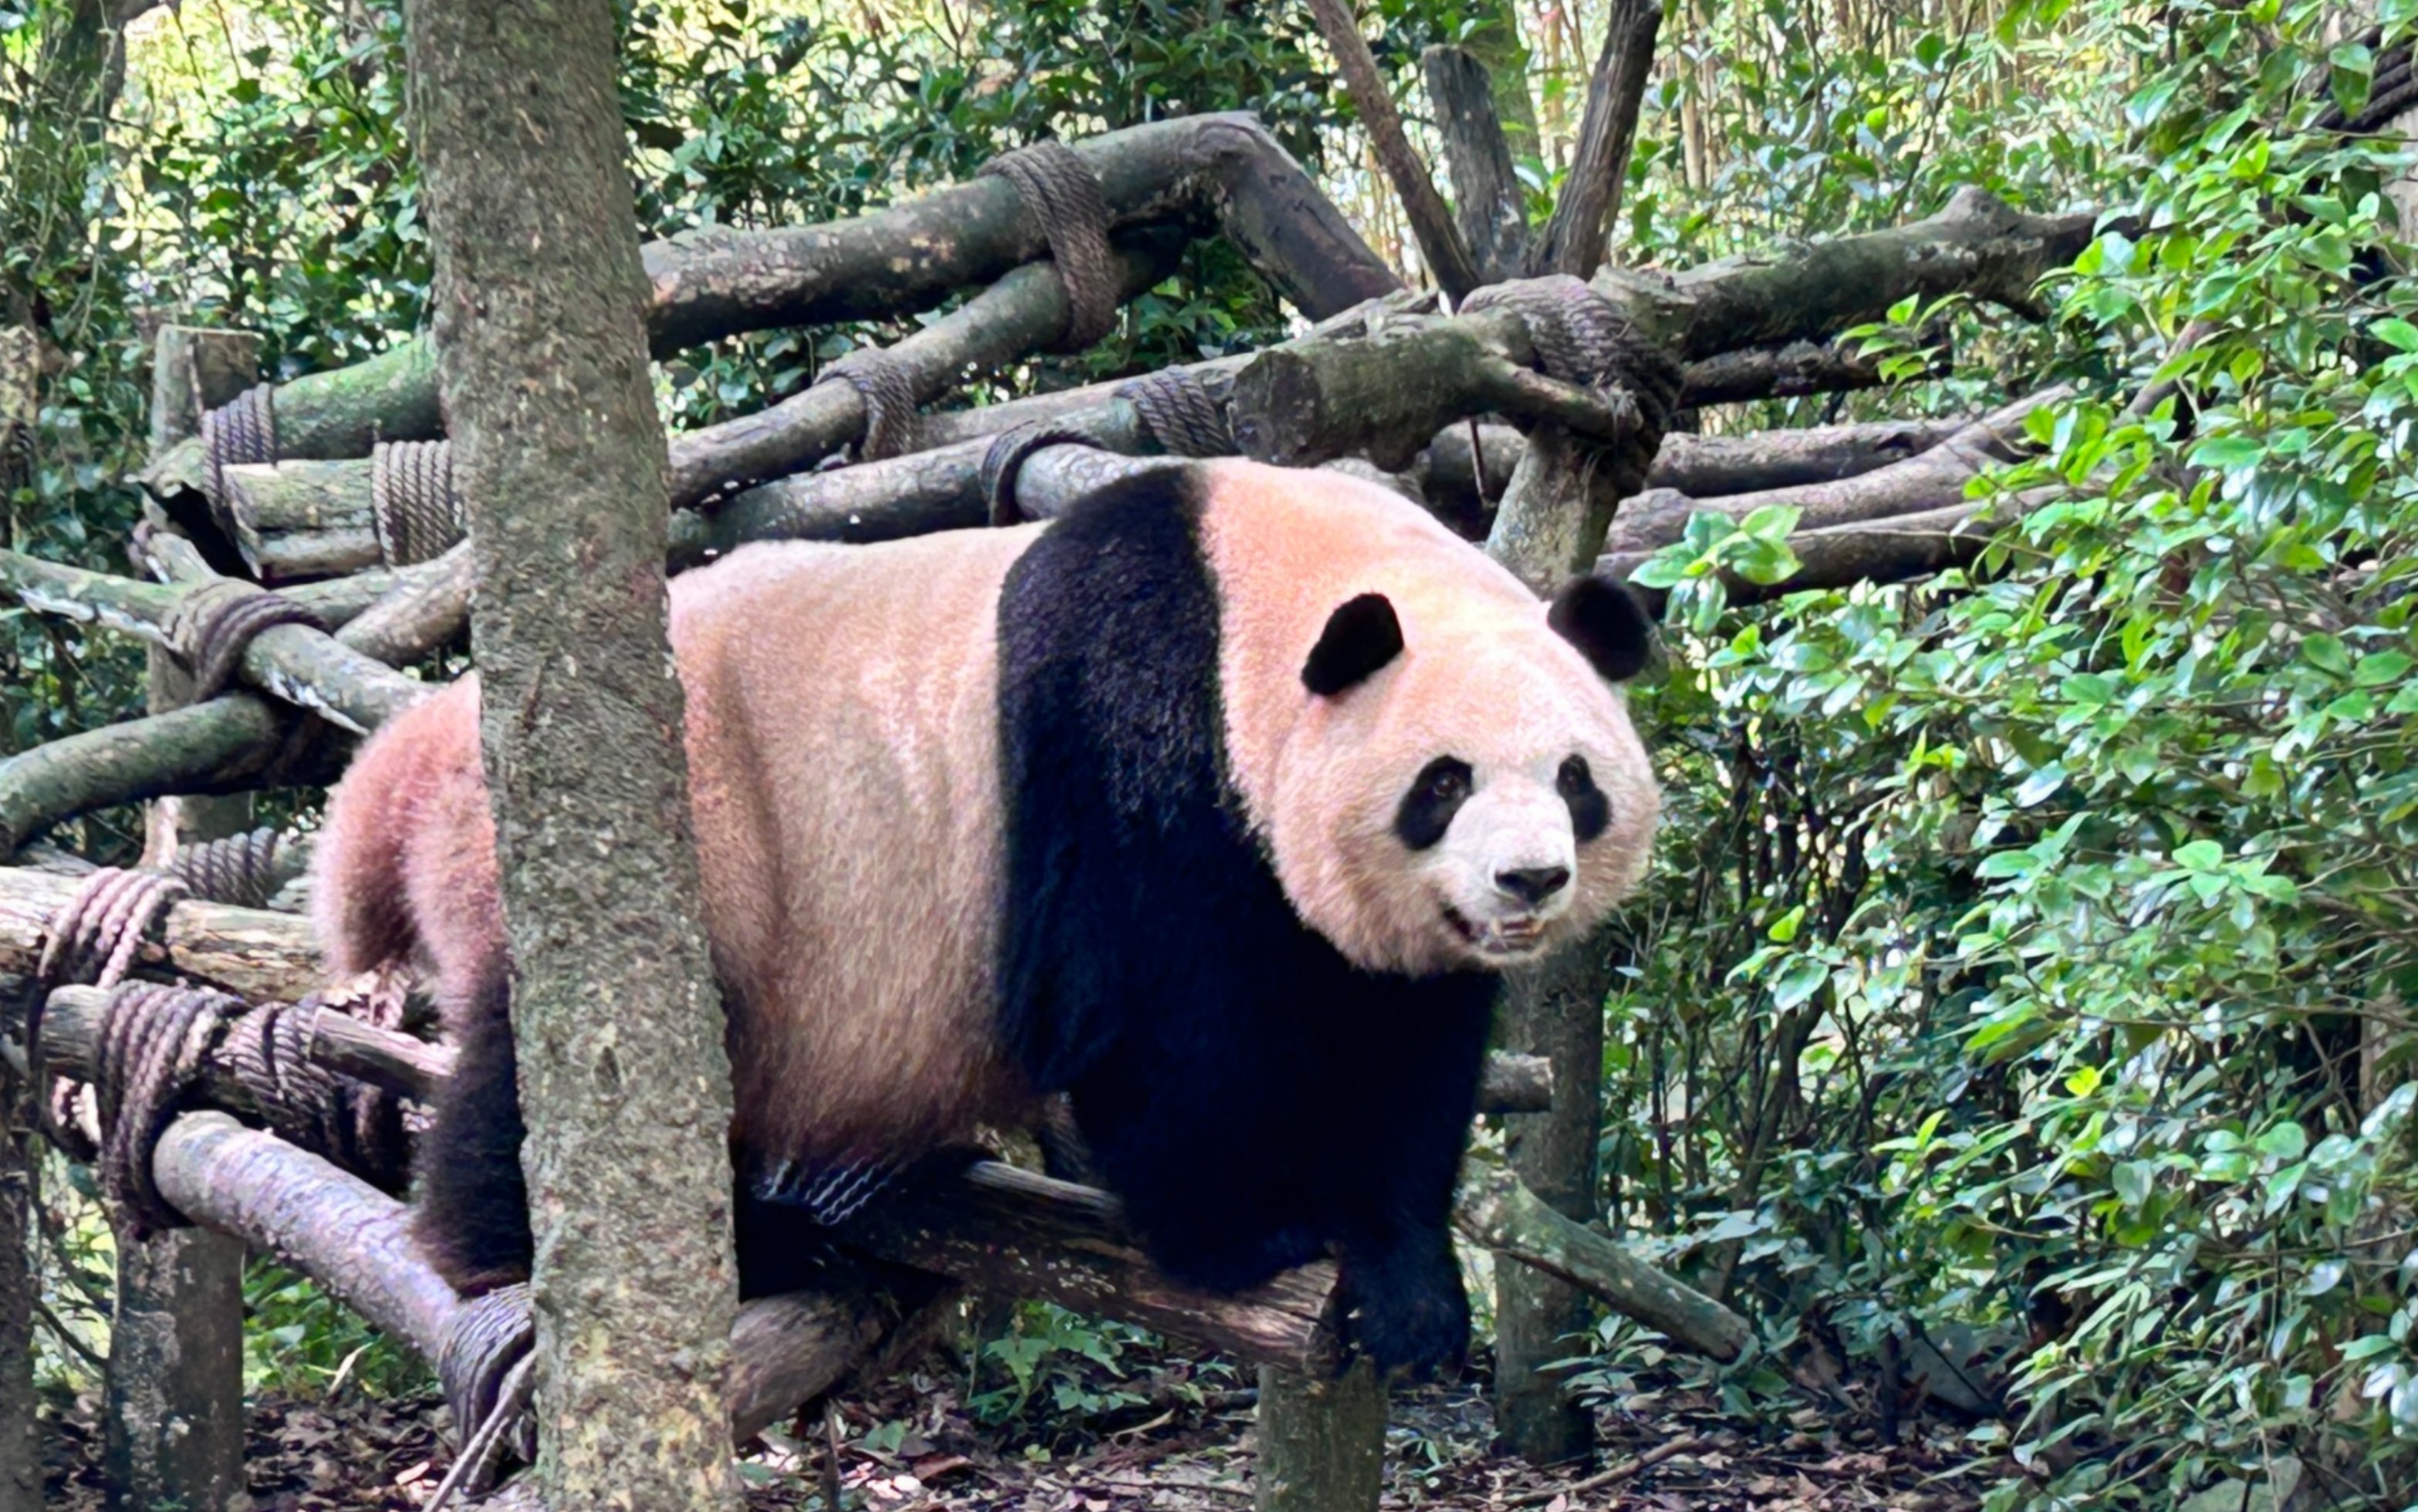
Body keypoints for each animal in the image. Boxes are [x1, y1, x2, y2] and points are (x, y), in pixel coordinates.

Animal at [307, 454, 1663, 1374]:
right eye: (1442, 784)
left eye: (1574, 781)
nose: (1527, 883)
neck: (1256, 586)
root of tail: (426, 742)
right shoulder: (1132, 731)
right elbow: (1148, 1016)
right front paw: (1246, 1240)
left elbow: (1402, 1050)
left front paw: (1409, 1293)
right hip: (667, 823)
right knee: (592, 1051)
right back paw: (565, 1241)